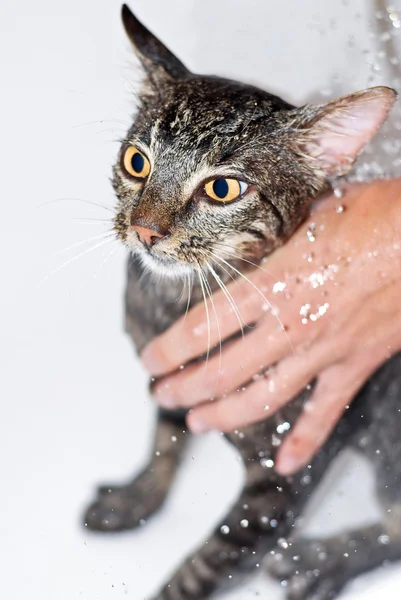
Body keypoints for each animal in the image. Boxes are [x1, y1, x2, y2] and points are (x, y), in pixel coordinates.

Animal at [83, 5, 400, 600]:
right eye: (137, 162)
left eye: (222, 189)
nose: (146, 229)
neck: (180, 305)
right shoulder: (168, 379)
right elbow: (164, 441)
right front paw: (137, 500)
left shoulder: (284, 473)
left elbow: (203, 567)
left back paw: (323, 560)